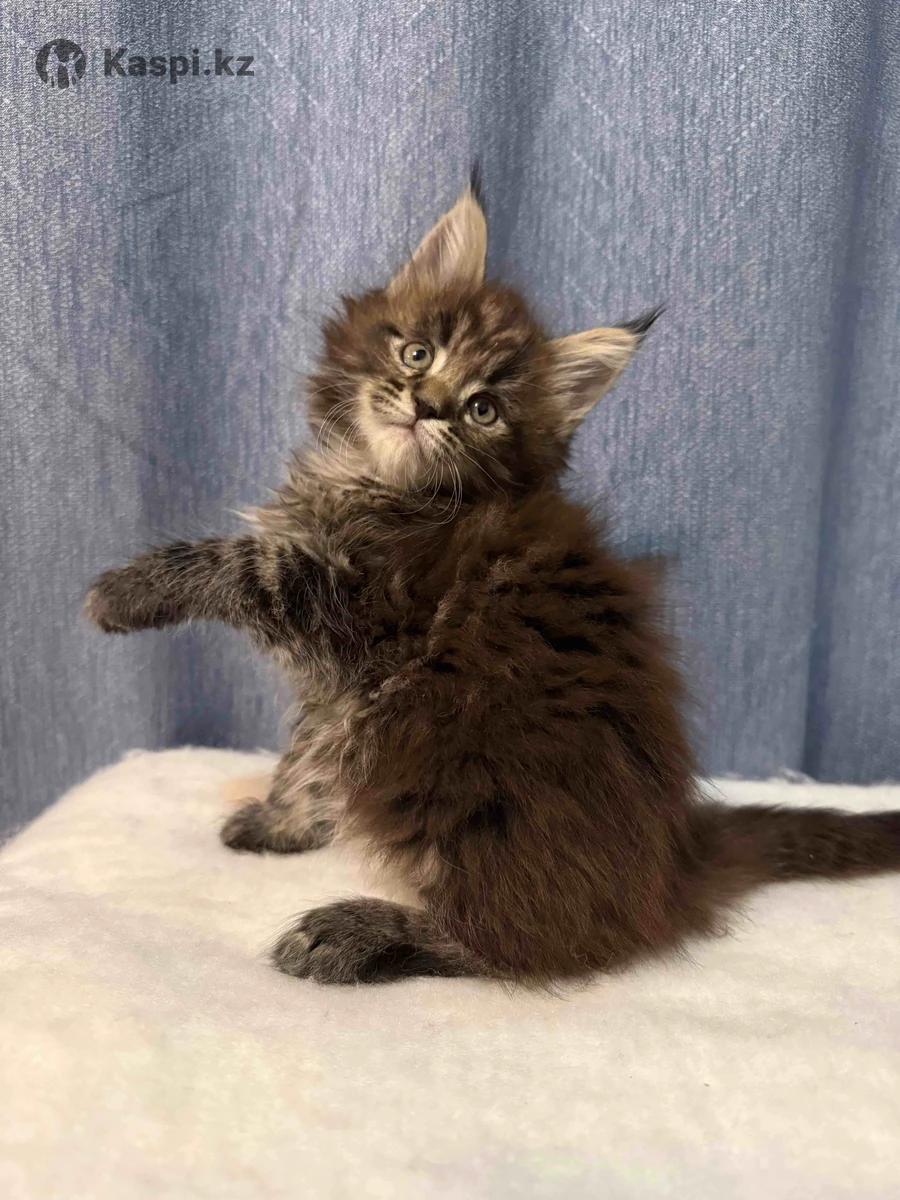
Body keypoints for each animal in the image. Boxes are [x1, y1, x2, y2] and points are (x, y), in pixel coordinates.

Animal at [85, 176, 900, 986]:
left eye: (483, 409)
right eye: (417, 352)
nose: (427, 405)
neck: (373, 482)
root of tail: (678, 855)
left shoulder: (361, 615)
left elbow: (241, 562)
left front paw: (126, 591)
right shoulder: (342, 695)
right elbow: (310, 756)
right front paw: (283, 822)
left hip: (469, 784)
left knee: (525, 942)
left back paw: (354, 934)